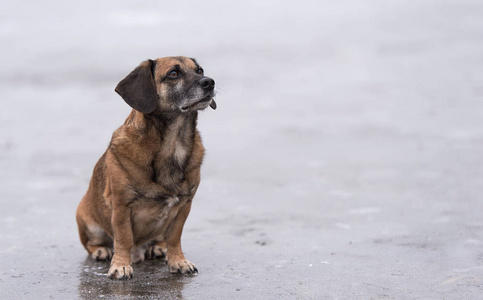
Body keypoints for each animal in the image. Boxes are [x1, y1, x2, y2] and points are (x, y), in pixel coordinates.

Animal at [76, 55, 217, 278]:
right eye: (173, 73)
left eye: (200, 70)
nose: (210, 82)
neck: (172, 144)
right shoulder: (122, 207)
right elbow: (123, 238)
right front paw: (121, 265)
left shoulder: (184, 206)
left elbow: (175, 237)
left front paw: (178, 261)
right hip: (89, 224)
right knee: (94, 244)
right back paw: (102, 250)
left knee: (161, 239)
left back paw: (157, 247)